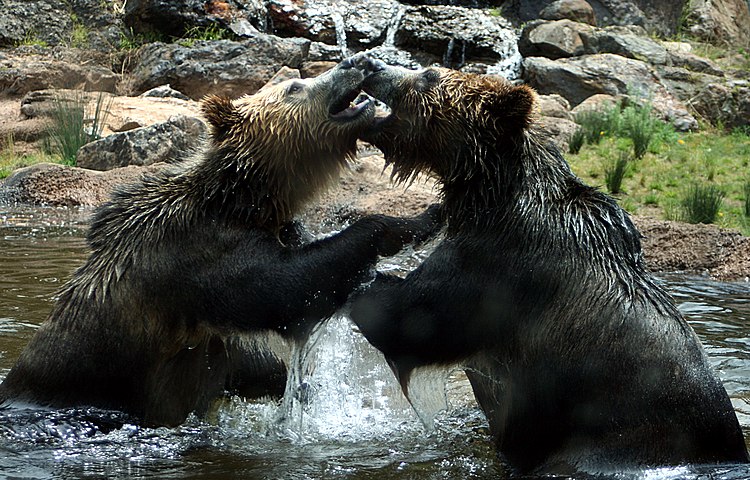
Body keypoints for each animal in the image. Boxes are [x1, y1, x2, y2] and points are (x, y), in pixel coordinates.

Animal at [0, 57, 440, 428]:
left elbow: (252, 358)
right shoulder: (196, 254)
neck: (241, 200)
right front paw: (416, 220)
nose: (357, 61)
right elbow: (284, 287)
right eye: (295, 86)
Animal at [352, 57, 750, 476]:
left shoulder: (498, 266)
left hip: (610, 435)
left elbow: (414, 317)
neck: (488, 191)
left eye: (429, 75)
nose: (371, 64)